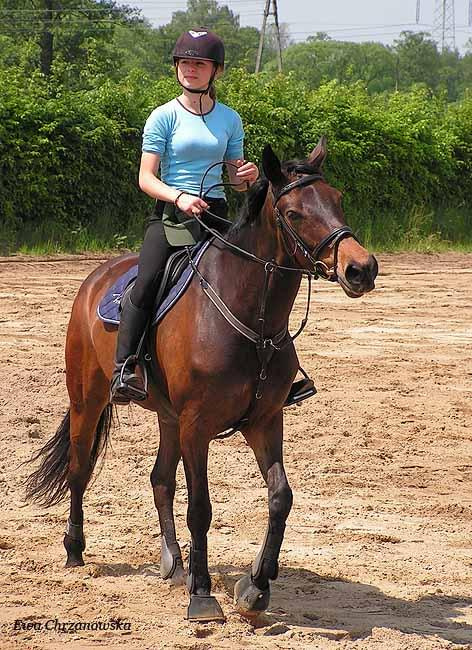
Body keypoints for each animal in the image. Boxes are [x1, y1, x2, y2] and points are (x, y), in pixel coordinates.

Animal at [26, 139, 380, 620]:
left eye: (338, 199)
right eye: (294, 213)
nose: (361, 269)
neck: (253, 319)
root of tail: (96, 277)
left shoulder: (265, 420)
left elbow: (280, 497)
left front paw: (255, 588)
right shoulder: (197, 426)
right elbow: (201, 508)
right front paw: (203, 595)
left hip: (168, 417)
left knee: (159, 479)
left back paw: (173, 562)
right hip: (89, 399)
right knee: (80, 469)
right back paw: (75, 551)